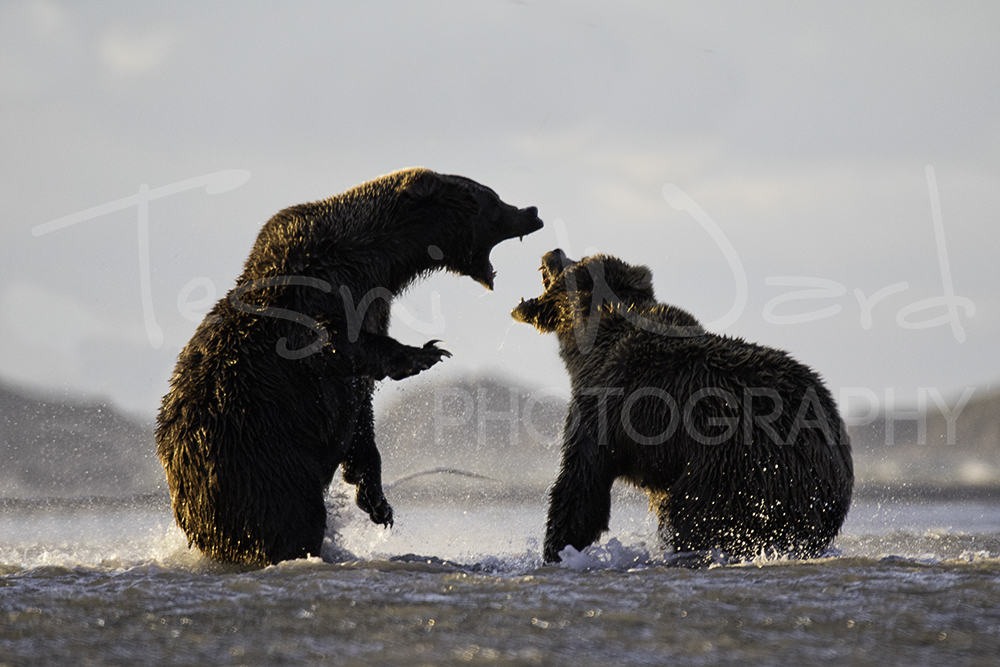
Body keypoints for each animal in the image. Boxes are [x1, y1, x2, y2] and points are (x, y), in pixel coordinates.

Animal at [156, 168, 543, 567]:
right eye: (489, 198)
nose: (531, 211)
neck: (377, 264)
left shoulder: (371, 306)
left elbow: (361, 410)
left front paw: (378, 502)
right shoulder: (310, 299)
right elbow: (332, 345)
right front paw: (425, 353)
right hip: (255, 458)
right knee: (289, 516)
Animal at [512, 249, 854, 563]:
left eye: (576, 258)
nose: (553, 251)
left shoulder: (607, 403)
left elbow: (581, 484)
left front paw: (557, 549)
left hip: (742, 468)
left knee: (692, 518)